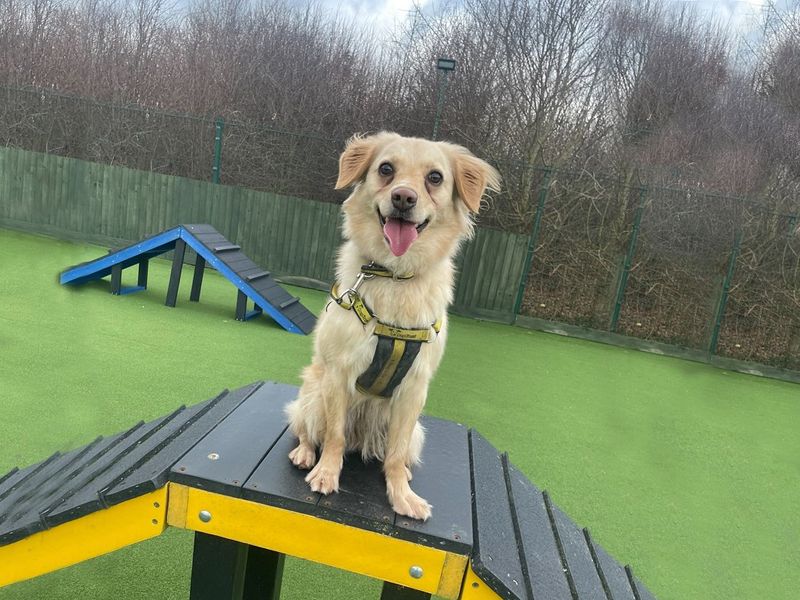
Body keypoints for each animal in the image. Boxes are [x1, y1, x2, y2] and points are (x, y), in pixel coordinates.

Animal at [286, 131, 500, 520]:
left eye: (435, 177)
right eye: (386, 169)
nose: (403, 197)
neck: (395, 276)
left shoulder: (414, 389)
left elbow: (396, 455)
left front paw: (402, 496)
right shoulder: (338, 375)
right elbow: (334, 436)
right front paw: (326, 474)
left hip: (416, 431)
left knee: (396, 453)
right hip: (312, 395)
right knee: (309, 431)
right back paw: (306, 454)